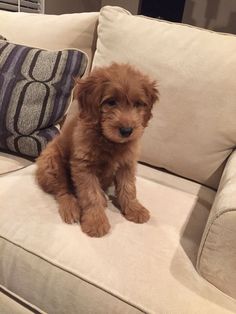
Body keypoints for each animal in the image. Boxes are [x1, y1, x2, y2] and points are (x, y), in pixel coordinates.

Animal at [36, 62, 159, 237]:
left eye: (138, 104)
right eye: (111, 102)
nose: (127, 131)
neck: (109, 140)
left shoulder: (127, 164)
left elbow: (128, 187)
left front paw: (135, 209)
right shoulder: (83, 166)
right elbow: (90, 195)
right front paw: (95, 221)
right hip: (51, 162)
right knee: (62, 190)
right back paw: (71, 208)